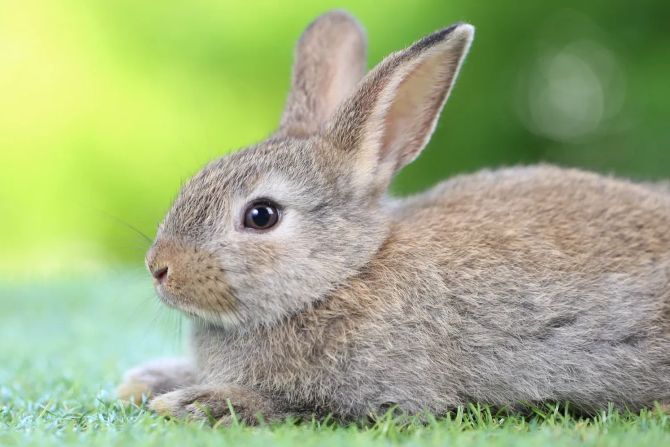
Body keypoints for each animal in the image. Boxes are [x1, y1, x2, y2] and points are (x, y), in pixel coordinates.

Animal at [117, 10, 670, 424]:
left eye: (261, 215)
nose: (159, 267)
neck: (345, 274)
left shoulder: (386, 394)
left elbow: (303, 407)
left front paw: (197, 403)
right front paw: (148, 381)